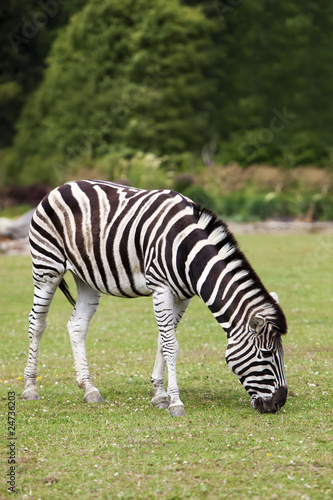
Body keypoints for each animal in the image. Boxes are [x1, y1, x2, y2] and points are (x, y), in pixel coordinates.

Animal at [22, 180, 288, 414]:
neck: (188, 252)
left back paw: (89, 389)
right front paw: (176, 403)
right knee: (37, 323)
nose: (279, 403)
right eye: (266, 353)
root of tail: (61, 186)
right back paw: (30, 388)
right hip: (47, 267)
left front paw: (160, 395)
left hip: (87, 278)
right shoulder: (161, 288)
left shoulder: (183, 295)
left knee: (77, 326)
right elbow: (171, 345)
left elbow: (164, 339)